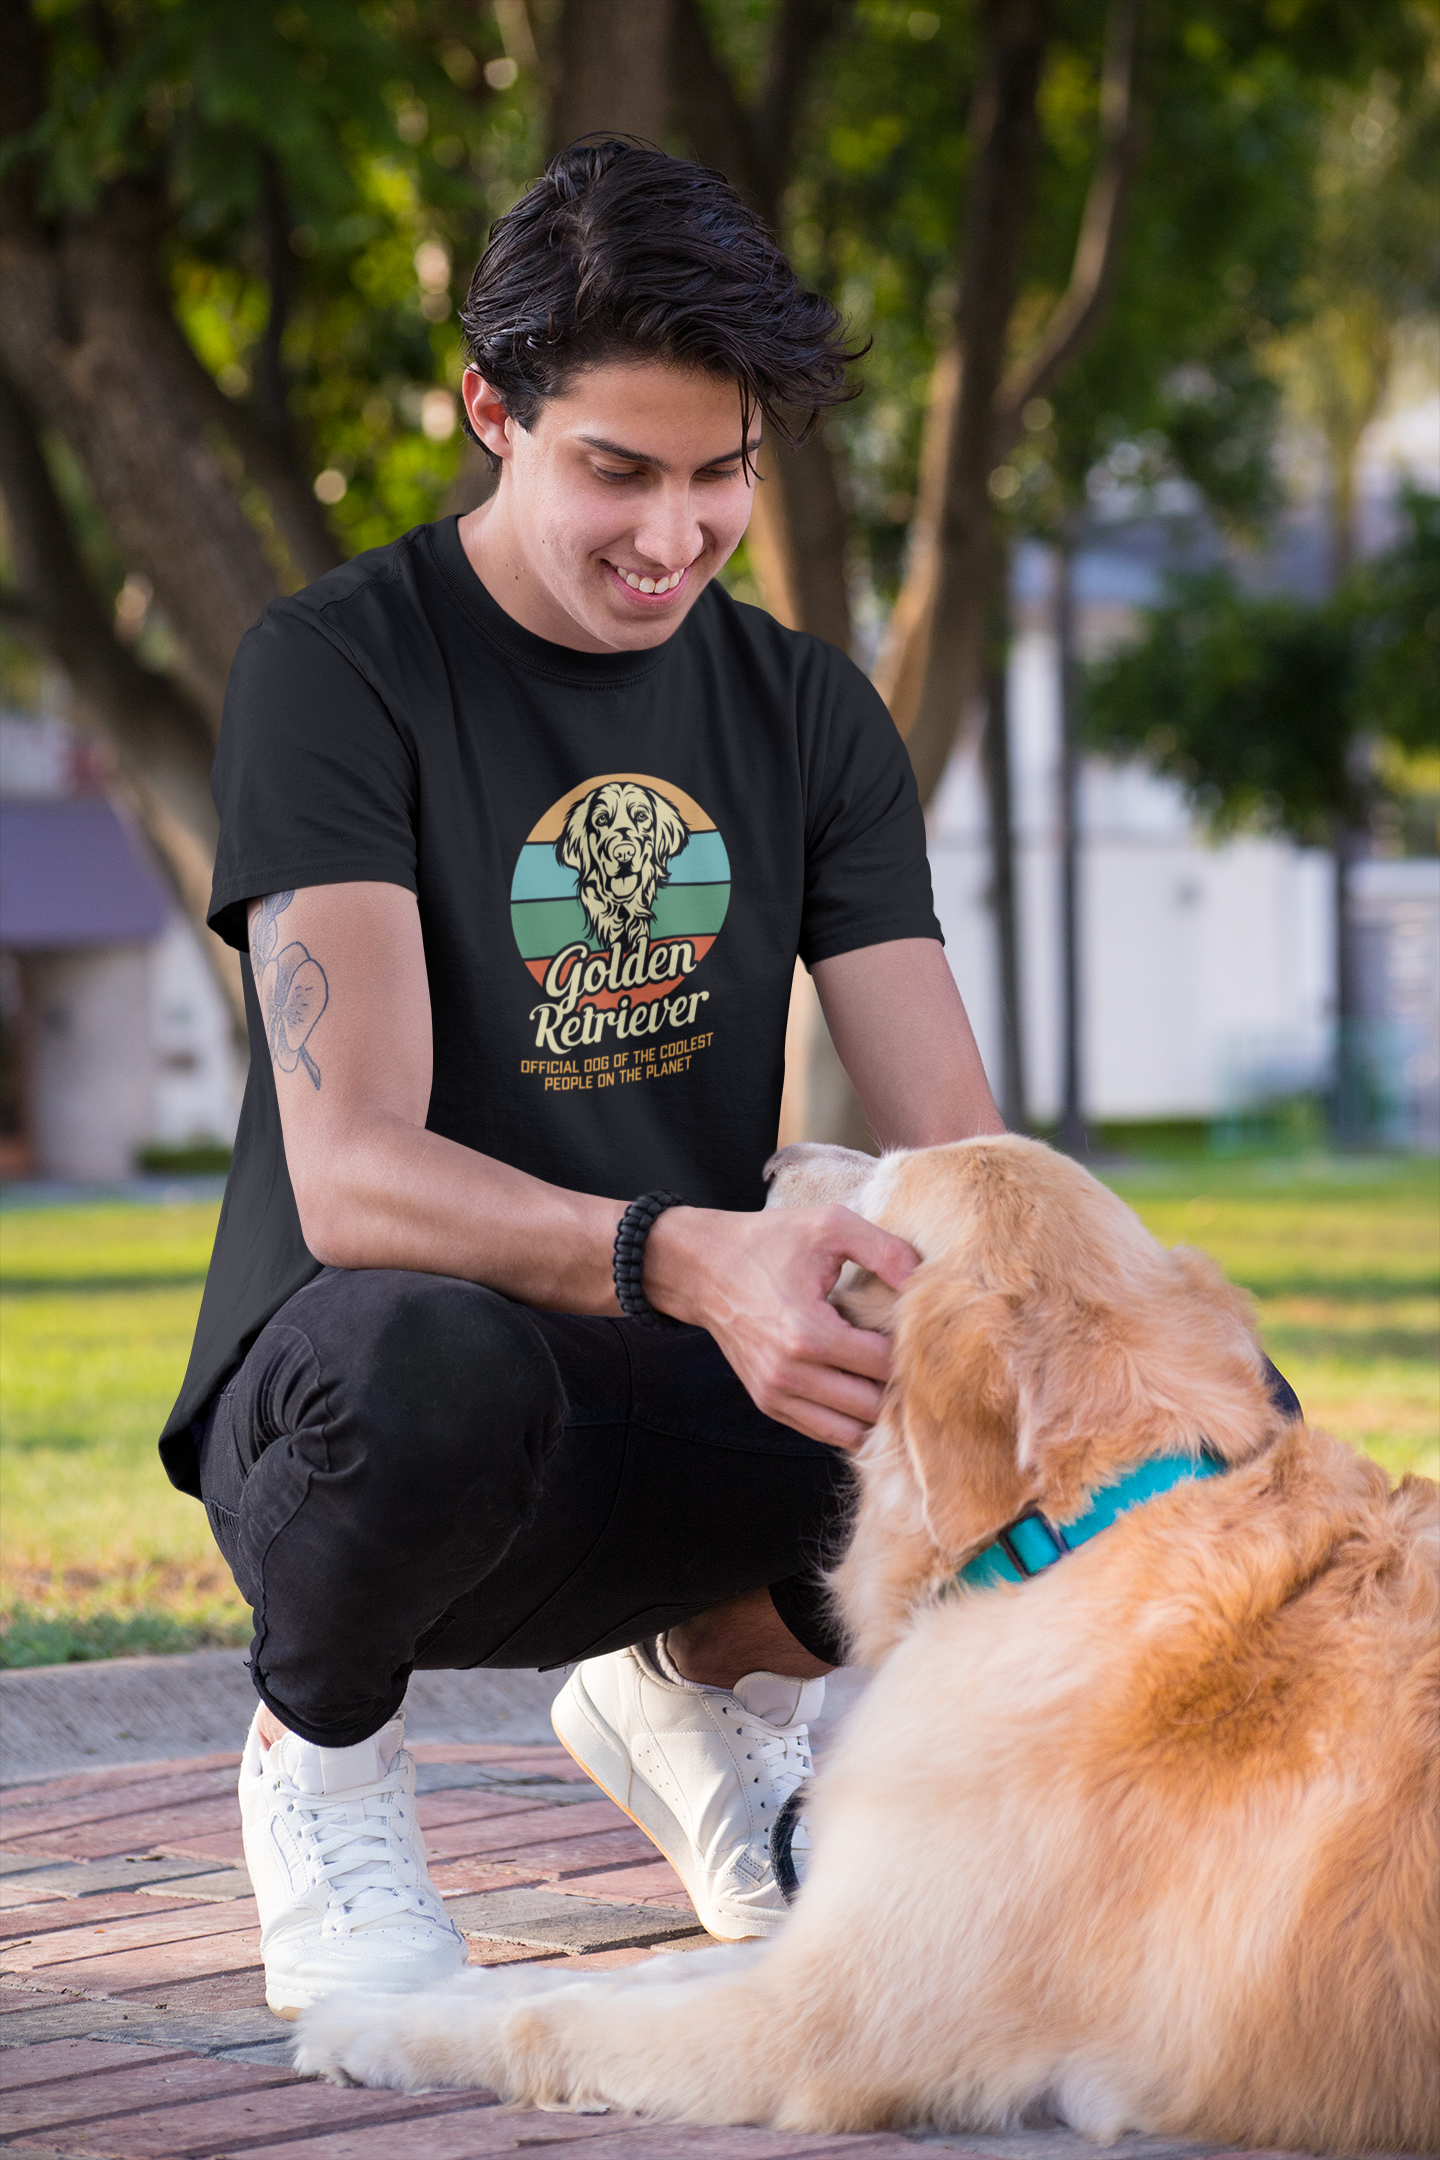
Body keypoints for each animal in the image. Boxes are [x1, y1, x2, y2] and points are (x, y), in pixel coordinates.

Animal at [297, 1140, 1433, 2151]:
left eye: (884, 1182)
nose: (773, 1161)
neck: (1076, 1530)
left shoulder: (828, 2020)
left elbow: (553, 2016)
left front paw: (367, 2024)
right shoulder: (841, 1935)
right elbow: (626, 1976)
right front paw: (422, 1990)